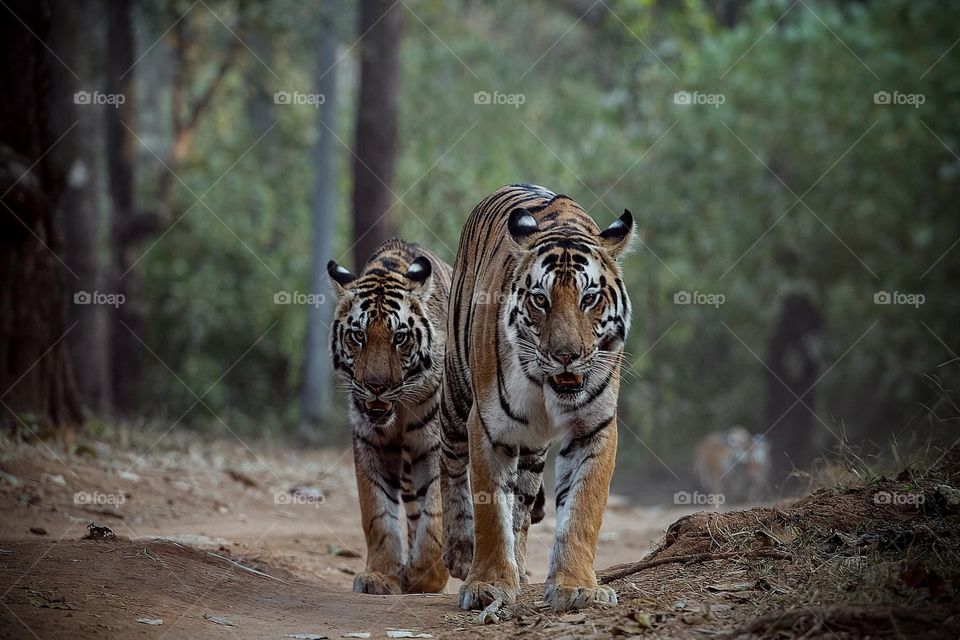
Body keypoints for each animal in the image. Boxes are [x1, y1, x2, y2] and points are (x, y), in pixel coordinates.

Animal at [328, 238, 452, 595]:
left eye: (400, 337)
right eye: (358, 336)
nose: (376, 386)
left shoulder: (436, 445)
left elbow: (436, 511)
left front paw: (428, 575)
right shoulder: (370, 442)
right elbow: (378, 512)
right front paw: (382, 575)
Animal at [438, 184, 634, 613]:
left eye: (589, 298)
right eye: (540, 300)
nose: (566, 355)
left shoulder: (595, 428)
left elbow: (583, 509)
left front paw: (576, 586)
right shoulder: (488, 427)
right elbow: (490, 510)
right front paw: (488, 585)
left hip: (531, 450)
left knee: (523, 507)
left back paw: (521, 566)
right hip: (456, 393)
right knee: (450, 462)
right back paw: (460, 552)